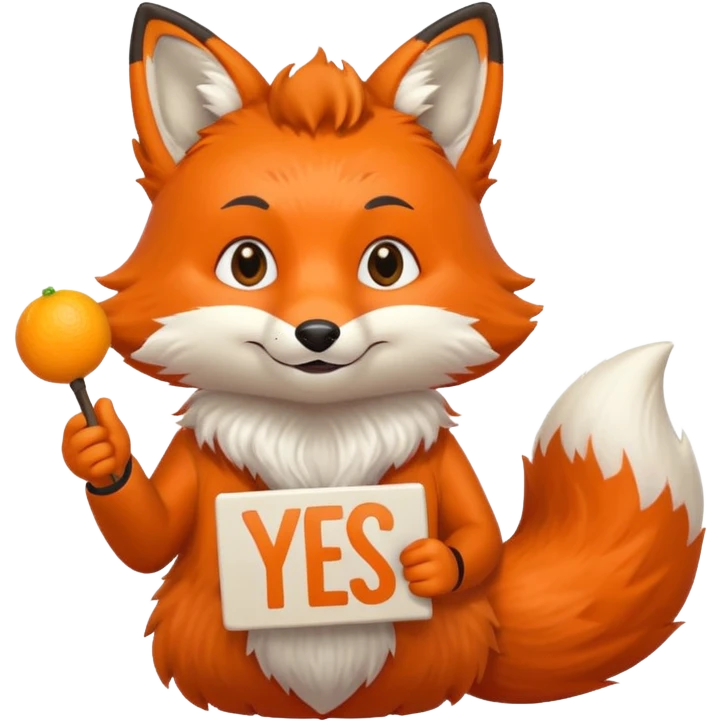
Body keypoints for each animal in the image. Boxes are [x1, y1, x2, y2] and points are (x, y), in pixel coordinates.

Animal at [59, 1, 705, 717]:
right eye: (248, 263)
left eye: (386, 263)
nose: (317, 332)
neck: (319, 434)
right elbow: (151, 539)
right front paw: (99, 448)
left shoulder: (446, 468)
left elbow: (479, 539)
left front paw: (432, 565)